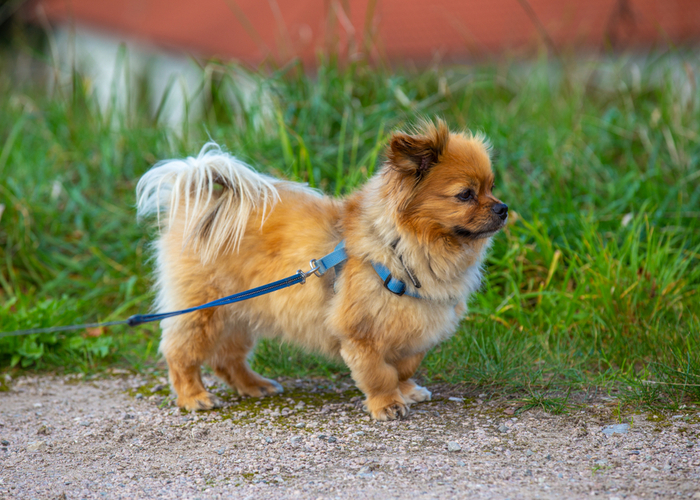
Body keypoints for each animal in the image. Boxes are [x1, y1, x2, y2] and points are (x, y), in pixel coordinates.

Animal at [138, 119, 508, 420]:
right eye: (465, 195)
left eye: (491, 187)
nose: (504, 208)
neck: (402, 247)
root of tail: (201, 205)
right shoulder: (360, 333)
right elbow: (379, 373)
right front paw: (387, 403)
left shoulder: (412, 330)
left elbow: (403, 367)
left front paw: (406, 391)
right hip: (203, 312)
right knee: (181, 354)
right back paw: (193, 397)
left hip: (240, 312)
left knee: (227, 359)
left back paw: (254, 385)